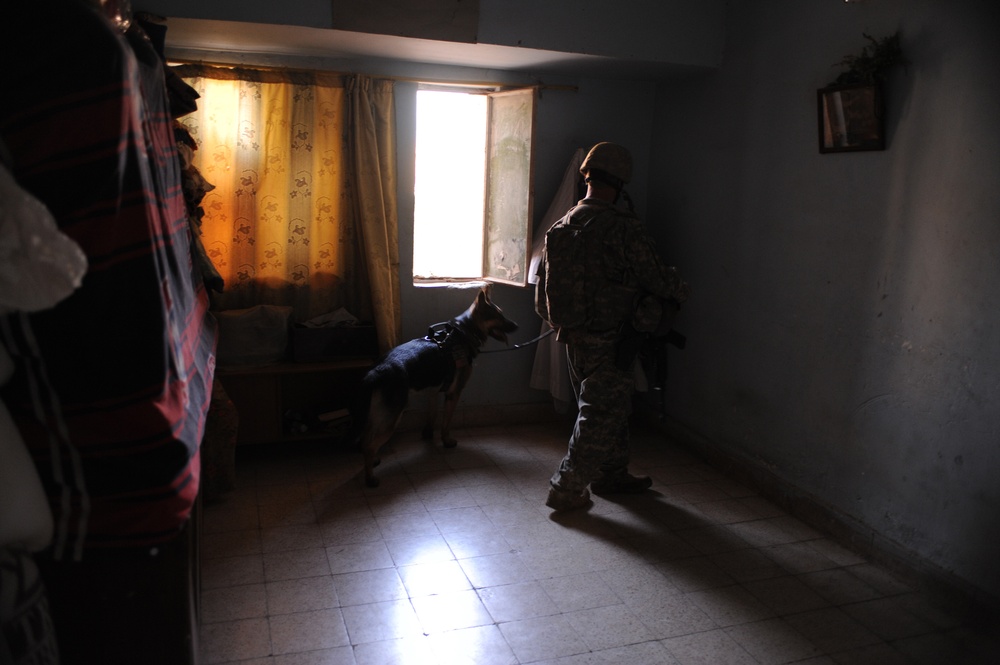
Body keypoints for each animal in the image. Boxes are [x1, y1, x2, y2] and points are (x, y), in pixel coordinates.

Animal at [350, 288, 516, 486]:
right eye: (499, 316)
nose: (517, 326)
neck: (463, 333)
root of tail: (376, 370)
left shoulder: (432, 392)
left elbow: (432, 415)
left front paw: (428, 434)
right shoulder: (453, 394)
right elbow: (446, 421)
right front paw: (446, 441)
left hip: (377, 414)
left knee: (366, 438)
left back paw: (373, 461)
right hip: (392, 418)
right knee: (369, 444)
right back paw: (370, 478)